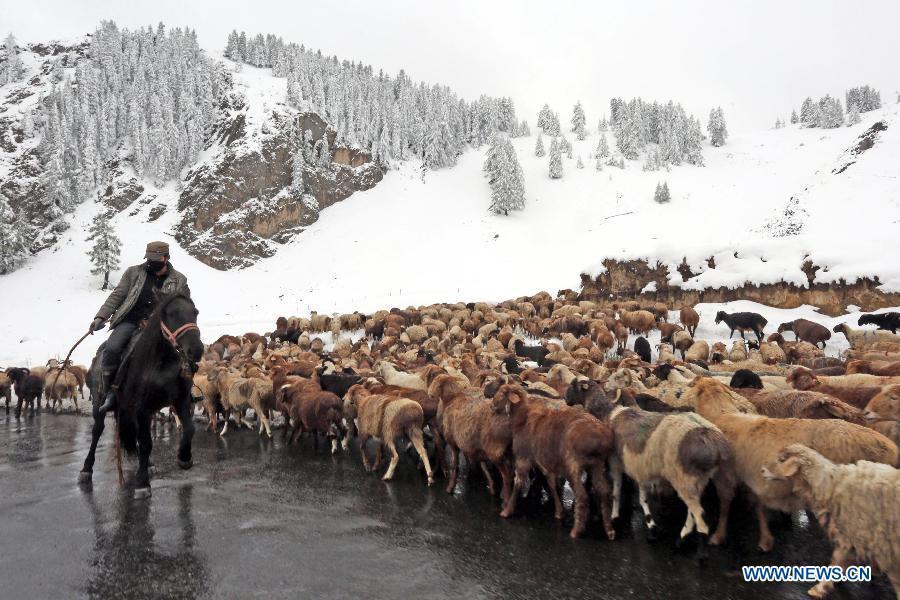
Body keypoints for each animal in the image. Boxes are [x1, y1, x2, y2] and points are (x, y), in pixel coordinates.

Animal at [78, 292, 203, 496]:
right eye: (171, 314)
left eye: (195, 312)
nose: (196, 350)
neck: (162, 364)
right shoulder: (142, 408)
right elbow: (146, 443)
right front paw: (142, 483)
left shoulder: (181, 400)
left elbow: (189, 429)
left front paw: (184, 458)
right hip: (100, 403)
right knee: (97, 431)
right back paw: (86, 469)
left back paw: (149, 463)